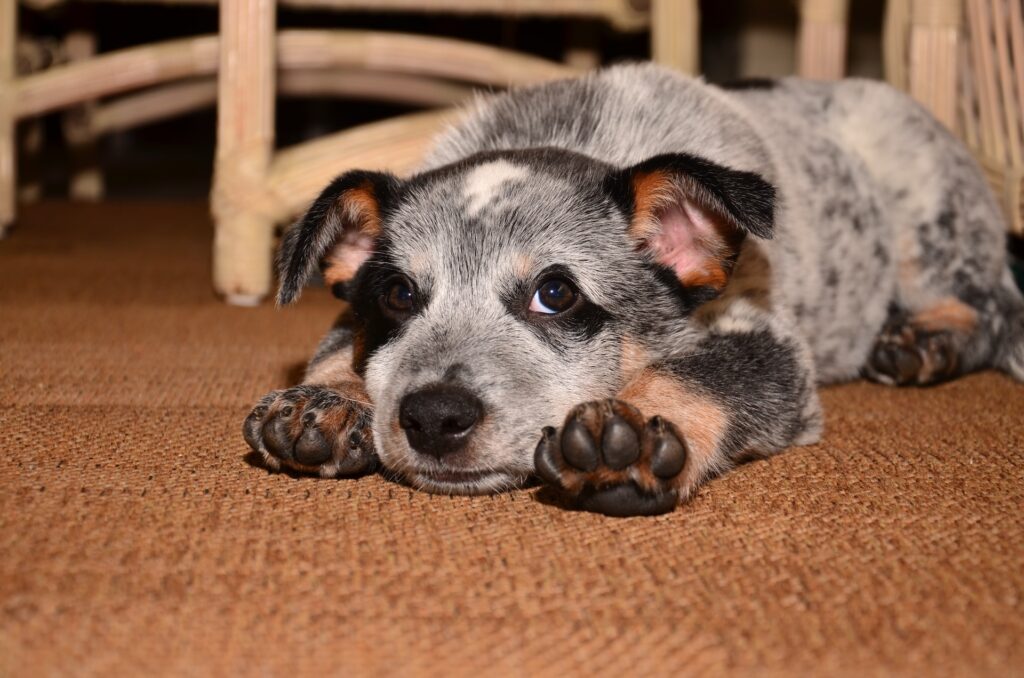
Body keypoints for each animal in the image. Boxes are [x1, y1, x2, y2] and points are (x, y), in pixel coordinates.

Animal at [241, 65, 1024, 520]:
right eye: (400, 294)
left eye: (556, 293)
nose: (434, 416)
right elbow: (339, 344)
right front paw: (325, 401)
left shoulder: (766, 340)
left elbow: (698, 375)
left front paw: (634, 436)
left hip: (928, 213)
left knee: (989, 304)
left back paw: (925, 340)